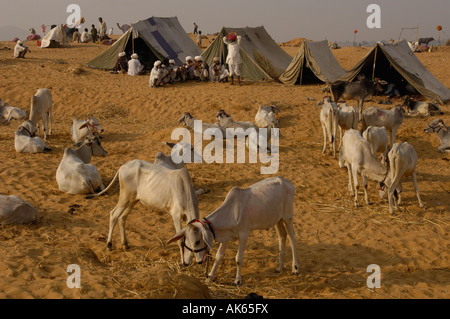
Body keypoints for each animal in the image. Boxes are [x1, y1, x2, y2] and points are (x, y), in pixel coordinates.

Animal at [166, 178, 298, 284]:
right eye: (185, 241)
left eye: (197, 241)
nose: (188, 262)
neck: (231, 212)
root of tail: (287, 182)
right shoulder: (226, 237)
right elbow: (218, 257)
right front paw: (210, 277)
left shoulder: (244, 234)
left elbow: (238, 259)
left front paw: (237, 280)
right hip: (277, 220)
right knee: (282, 236)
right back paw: (279, 267)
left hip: (288, 217)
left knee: (292, 237)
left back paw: (295, 268)